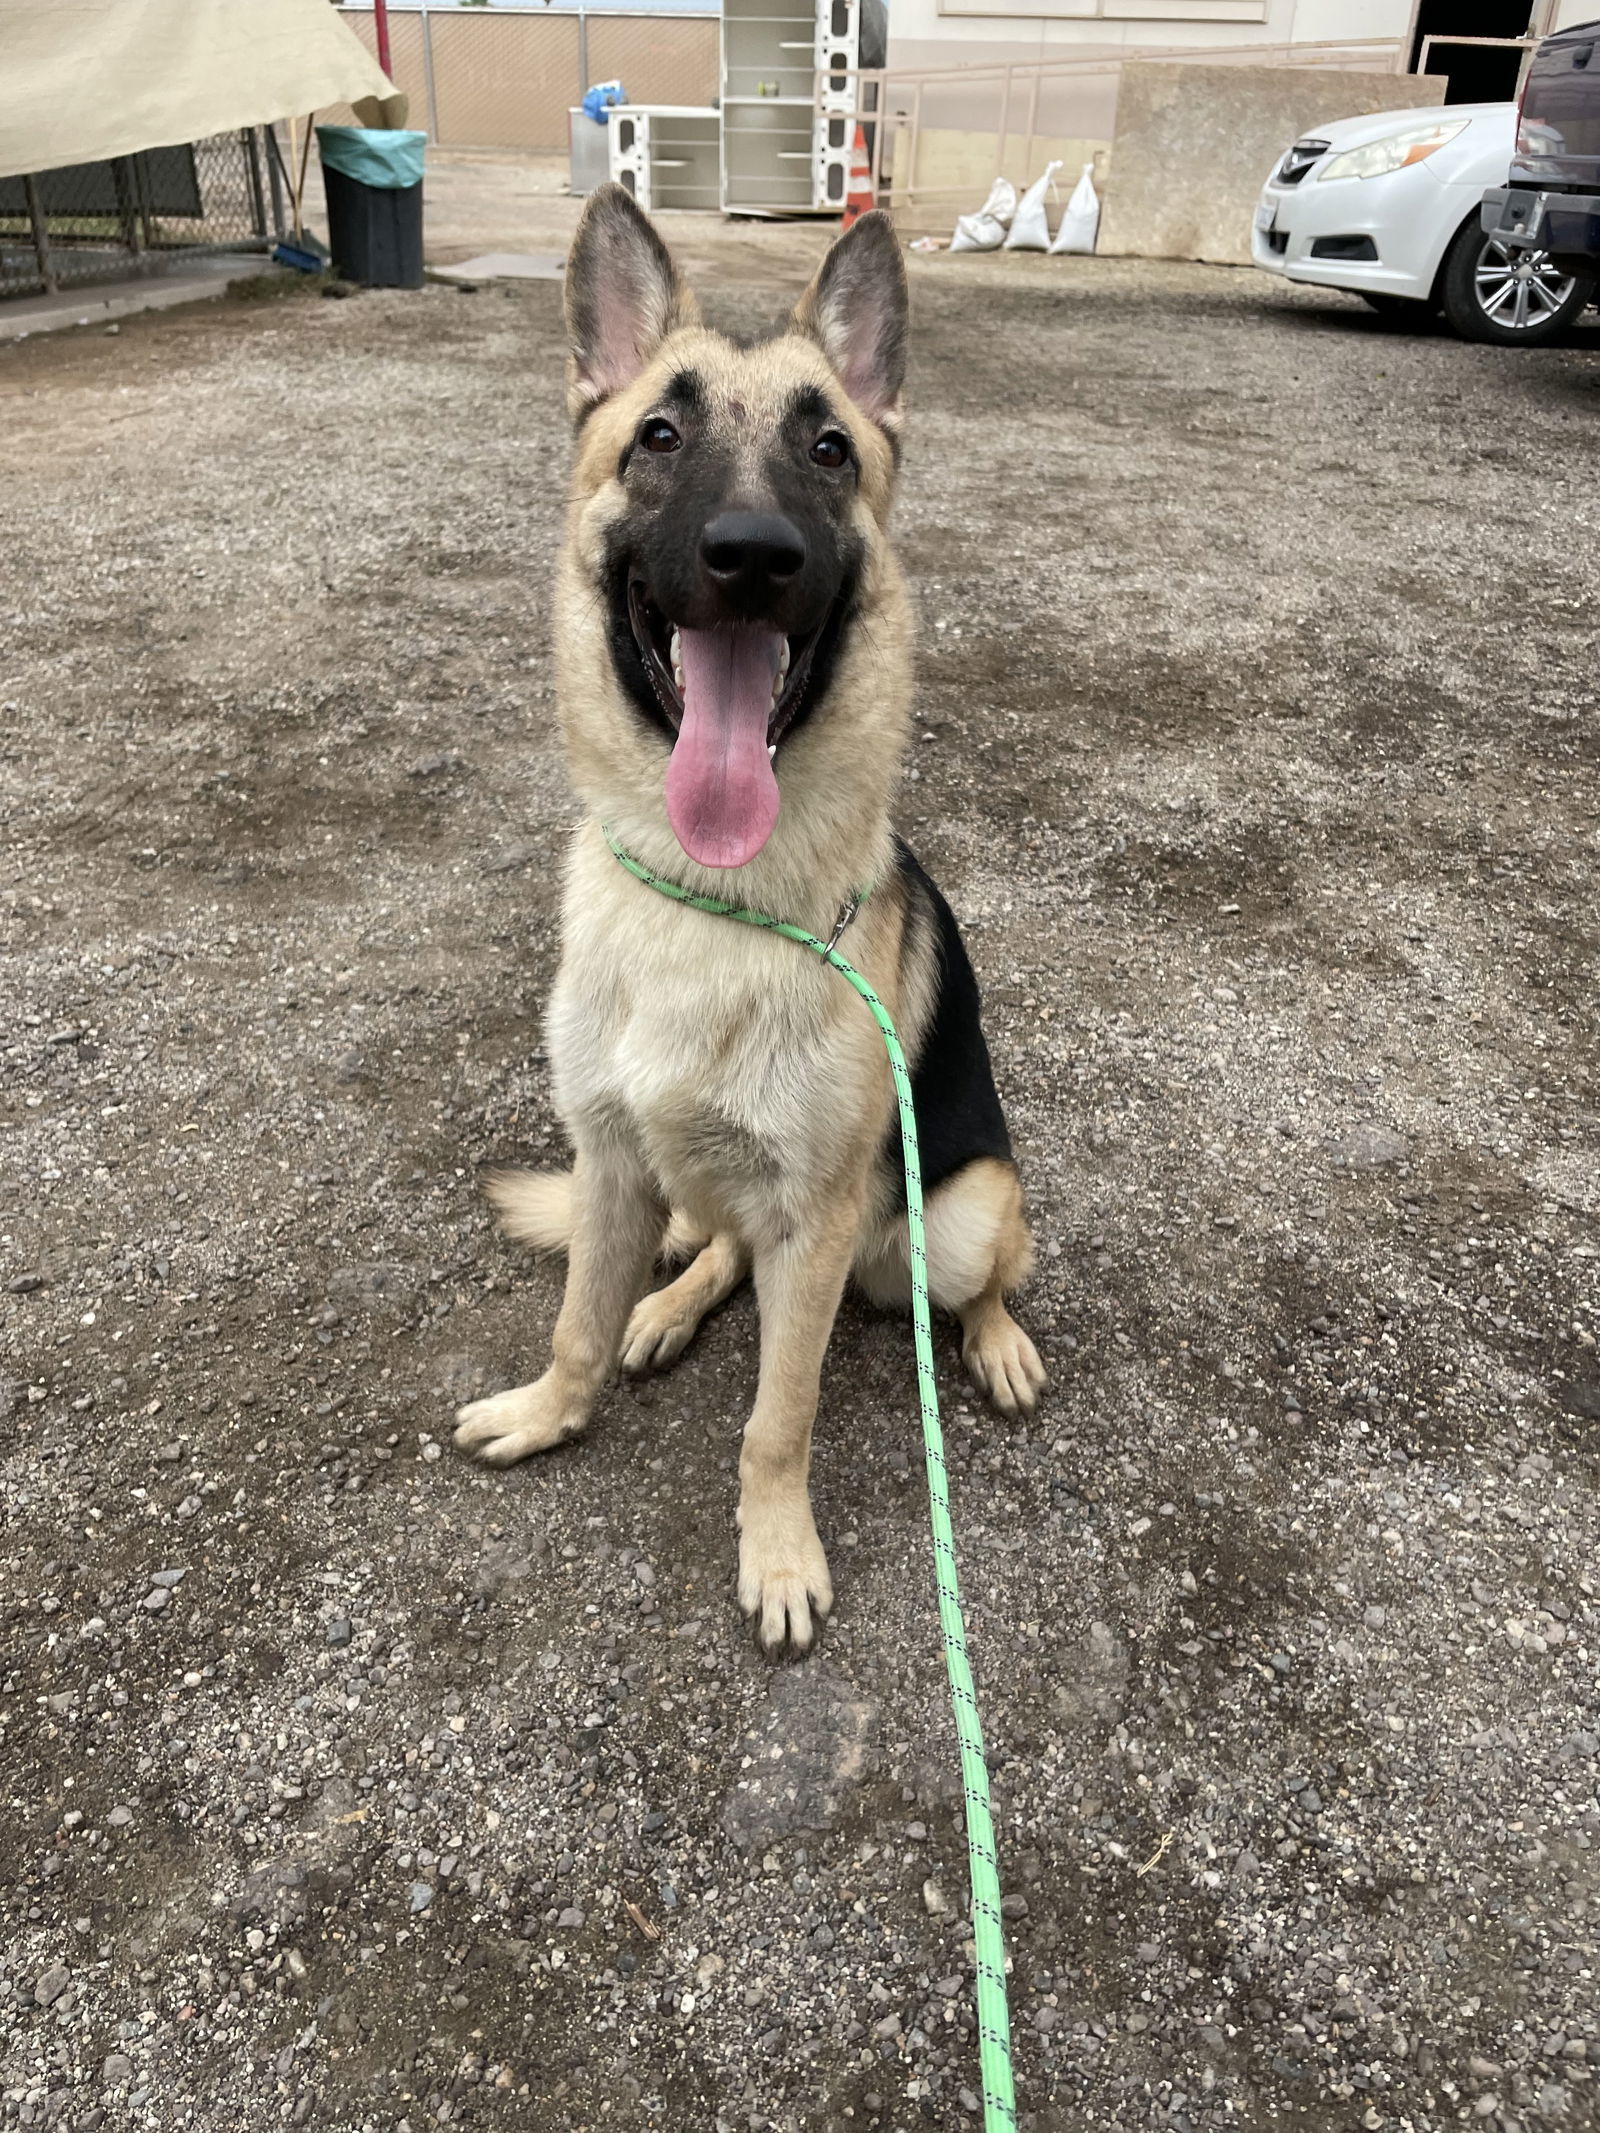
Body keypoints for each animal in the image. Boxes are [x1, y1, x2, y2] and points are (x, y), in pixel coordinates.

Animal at [456, 187, 1045, 1646]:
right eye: (657, 437)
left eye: (829, 448)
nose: (752, 557)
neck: (707, 900)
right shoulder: (613, 1164)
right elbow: (574, 1323)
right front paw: (554, 1408)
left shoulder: (817, 1226)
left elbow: (779, 1416)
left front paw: (776, 1552)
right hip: (691, 1183)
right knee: (713, 1245)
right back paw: (669, 1304)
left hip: (957, 1213)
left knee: (980, 1277)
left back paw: (997, 1340)